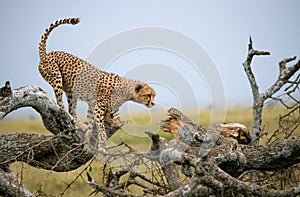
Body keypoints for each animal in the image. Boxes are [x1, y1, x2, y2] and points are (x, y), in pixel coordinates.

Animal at [38, 17, 156, 152]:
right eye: (148, 95)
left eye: (154, 96)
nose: (153, 103)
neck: (126, 92)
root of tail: (46, 54)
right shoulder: (98, 107)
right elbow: (101, 129)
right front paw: (102, 146)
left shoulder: (92, 105)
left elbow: (92, 125)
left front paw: (87, 144)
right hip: (57, 78)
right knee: (61, 105)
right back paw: (73, 119)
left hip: (71, 91)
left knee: (71, 109)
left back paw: (80, 125)